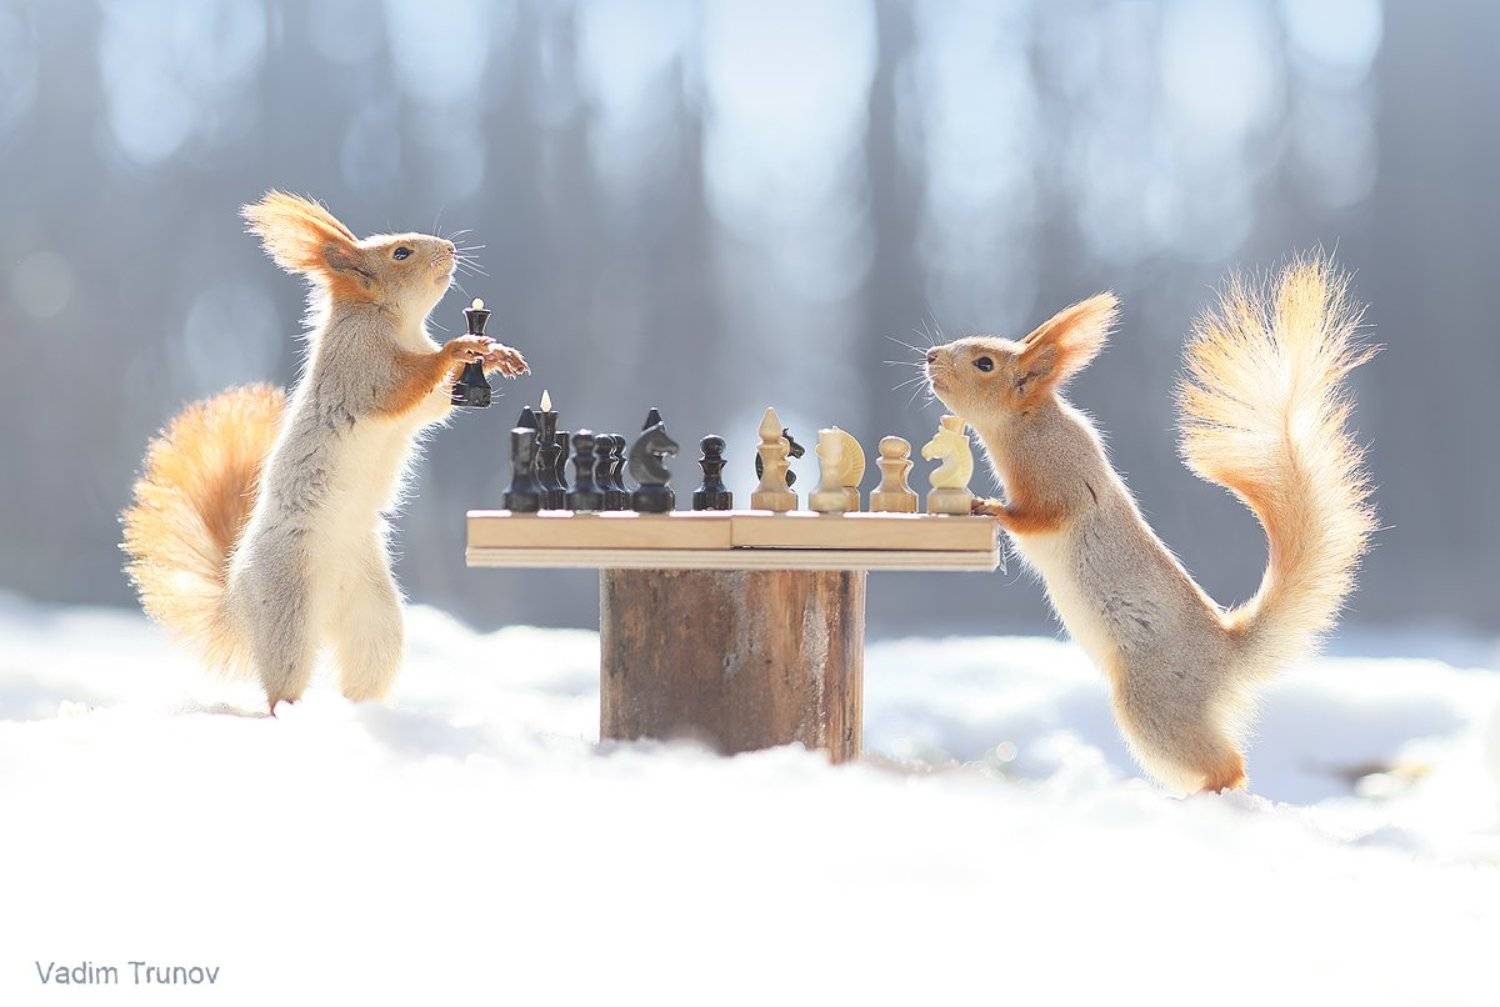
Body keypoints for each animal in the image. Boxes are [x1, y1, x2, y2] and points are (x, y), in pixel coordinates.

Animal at [121, 192, 527, 712]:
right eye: (401, 253)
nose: (452, 249)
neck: (395, 322)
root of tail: (237, 601)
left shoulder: (426, 400)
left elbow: (435, 403)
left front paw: (495, 354)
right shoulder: (361, 370)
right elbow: (401, 387)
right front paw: (461, 347)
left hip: (374, 615)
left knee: (366, 668)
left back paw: (366, 712)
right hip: (288, 609)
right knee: (281, 684)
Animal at [924, 258, 1375, 793]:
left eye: (984, 364)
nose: (930, 356)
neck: (1029, 422)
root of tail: (1225, 657)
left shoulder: (1061, 481)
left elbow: (1040, 515)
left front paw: (987, 506)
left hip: (1153, 703)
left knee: (1229, 767)